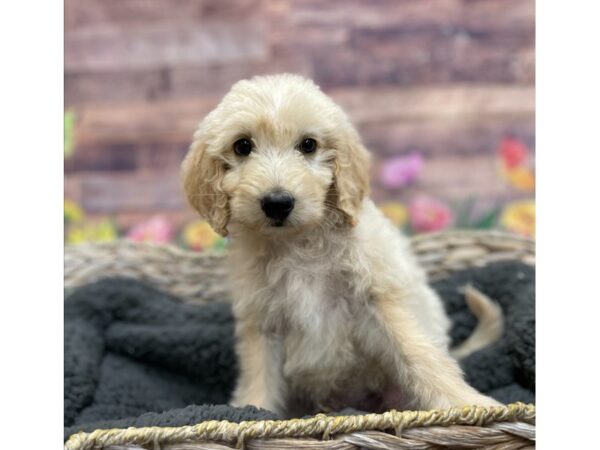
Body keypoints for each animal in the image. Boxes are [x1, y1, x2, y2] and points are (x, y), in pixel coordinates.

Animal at [182, 73, 502, 414]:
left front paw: (465, 402)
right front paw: (252, 410)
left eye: (308, 145)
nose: (277, 203)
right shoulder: (262, 321)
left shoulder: (379, 296)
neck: (298, 242)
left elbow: (416, 350)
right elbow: (259, 375)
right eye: (242, 146)